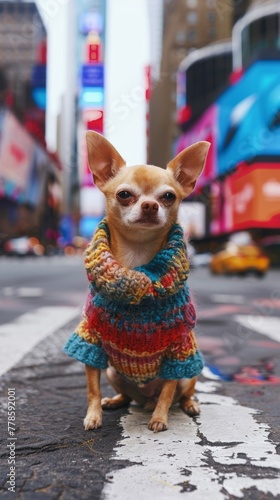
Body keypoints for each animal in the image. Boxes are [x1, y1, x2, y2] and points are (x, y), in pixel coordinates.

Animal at [64, 133, 209, 434]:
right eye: (124, 194)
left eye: (168, 196)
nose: (150, 205)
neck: (137, 257)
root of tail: (145, 397)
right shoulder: (90, 340)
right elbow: (92, 388)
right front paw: (93, 415)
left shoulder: (179, 349)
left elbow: (168, 391)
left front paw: (159, 419)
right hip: (114, 372)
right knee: (127, 395)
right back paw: (115, 401)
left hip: (190, 370)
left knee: (179, 392)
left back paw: (186, 404)